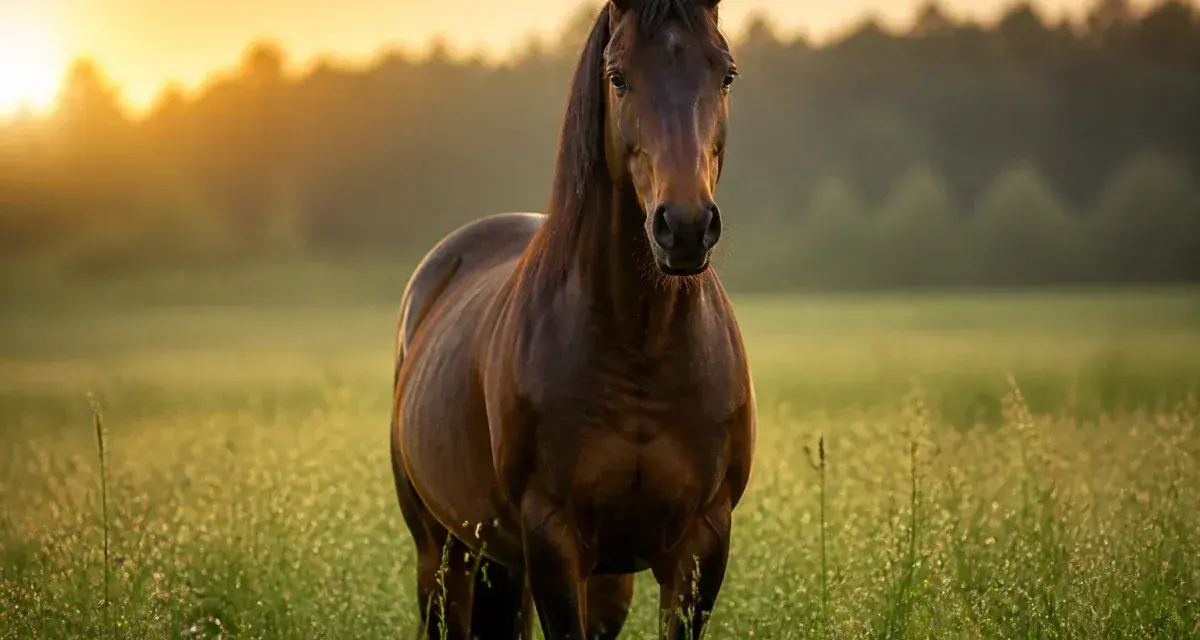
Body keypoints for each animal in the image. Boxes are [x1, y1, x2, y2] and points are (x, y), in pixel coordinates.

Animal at [389, 1, 755, 637]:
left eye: (726, 74)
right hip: (442, 552)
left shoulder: (702, 543)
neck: (641, 347)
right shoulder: (553, 541)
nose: (684, 226)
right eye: (618, 77)